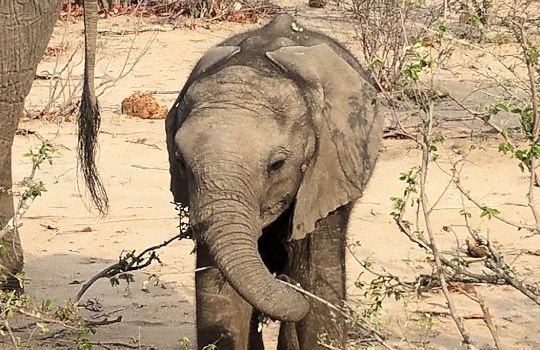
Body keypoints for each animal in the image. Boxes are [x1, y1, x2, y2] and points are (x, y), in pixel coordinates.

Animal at [167, 13, 382, 350]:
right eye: (180, 161)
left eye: (277, 165)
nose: (284, 280)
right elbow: (220, 294)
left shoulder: (328, 173)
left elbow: (319, 286)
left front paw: (303, 285)